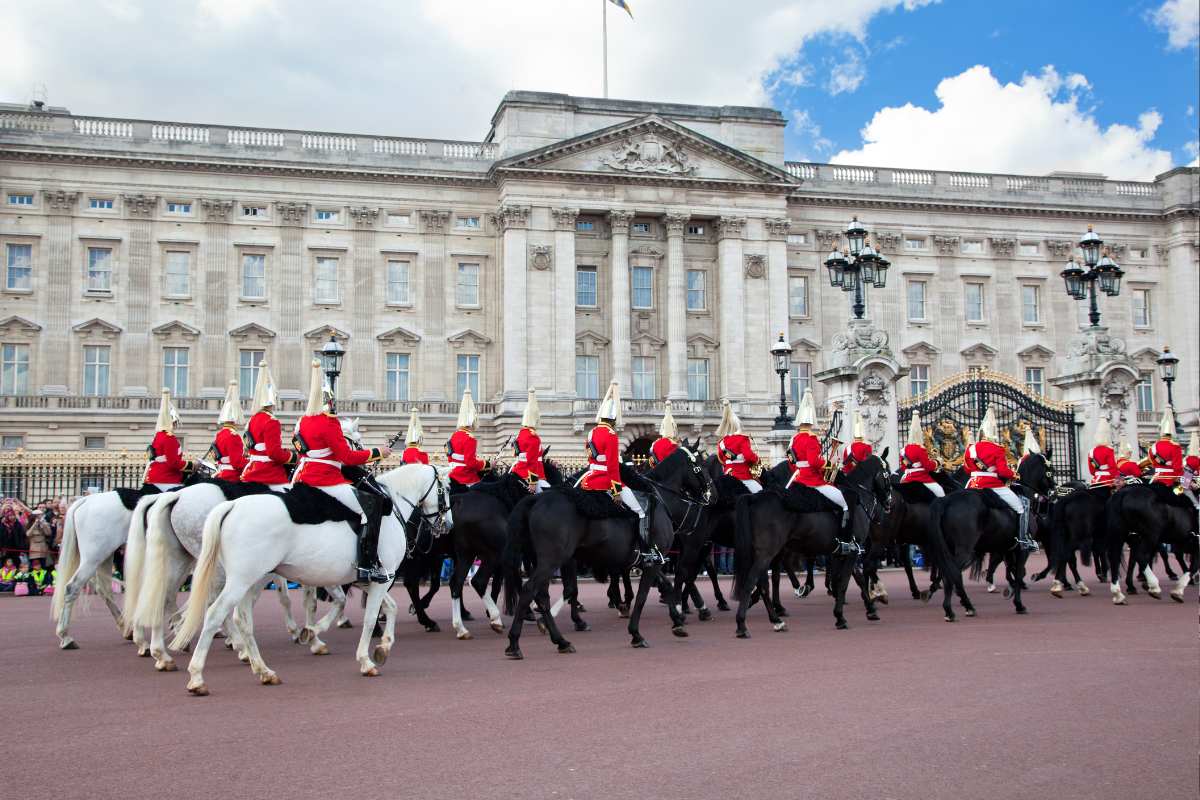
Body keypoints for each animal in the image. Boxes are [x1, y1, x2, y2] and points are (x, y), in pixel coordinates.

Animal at [170, 462, 451, 695]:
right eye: (446, 489)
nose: (447, 525)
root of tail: (233, 505)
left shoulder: (371, 579)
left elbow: (388, 608)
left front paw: (382, 647)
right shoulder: (381, 578)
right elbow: (370, 618)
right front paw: (365, 659)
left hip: (252, 580)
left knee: (241, 619)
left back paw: (262, 670)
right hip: (241, 580)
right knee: (215, 613)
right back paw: (196, 676)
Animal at [724, 455, 897, 638]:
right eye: (887, 473)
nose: (889, 503)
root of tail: (754, 497)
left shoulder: (846, 551)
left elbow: (857, 580)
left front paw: (870, 609)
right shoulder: (852, 552)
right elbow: (844, 582)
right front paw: (840, 617)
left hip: (764, 553)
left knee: (763, 584)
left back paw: (776, 620)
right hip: (767, 553)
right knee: (751, 581)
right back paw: (742, 625)